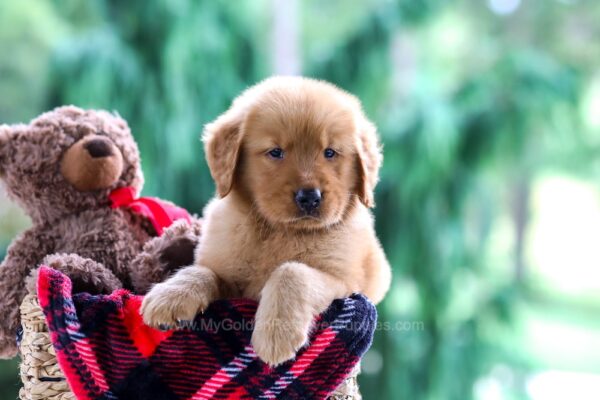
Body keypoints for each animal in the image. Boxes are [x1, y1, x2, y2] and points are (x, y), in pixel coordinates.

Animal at [142, 76, 392, 368]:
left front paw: (276, 331)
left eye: (330, 152)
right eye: (275, 152)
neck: (280, 231)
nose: (309, 197)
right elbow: (202, 271)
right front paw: (170, 295)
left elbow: (291, 270)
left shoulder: (344, 282)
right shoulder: (229, 279)